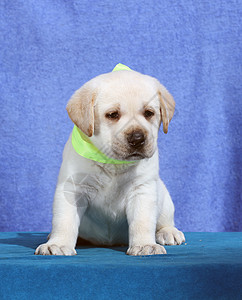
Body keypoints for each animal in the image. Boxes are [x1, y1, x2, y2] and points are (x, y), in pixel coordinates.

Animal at [34, 65, 185, 255]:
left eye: (149, 113)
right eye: (113, 114)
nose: (137, 138)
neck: (114, 163)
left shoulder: (142, 189)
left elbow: (142, 222)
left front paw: (145, 245)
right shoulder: (71, 188)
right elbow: (64, 220)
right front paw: (59, 244)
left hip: (163, 196)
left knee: (165, 220)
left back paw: (168, 232)